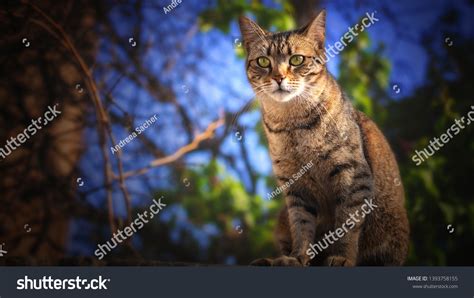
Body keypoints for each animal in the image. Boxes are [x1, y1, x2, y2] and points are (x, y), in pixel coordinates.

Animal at [239, 9, 410, 266]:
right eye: (263, 61)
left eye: (296, 60)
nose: (278, 77)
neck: (292, 123)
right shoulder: (295, 186)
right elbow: (301, 226)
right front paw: (297, 257)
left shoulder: (353, 175)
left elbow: (347, 225)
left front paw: (341, 257)